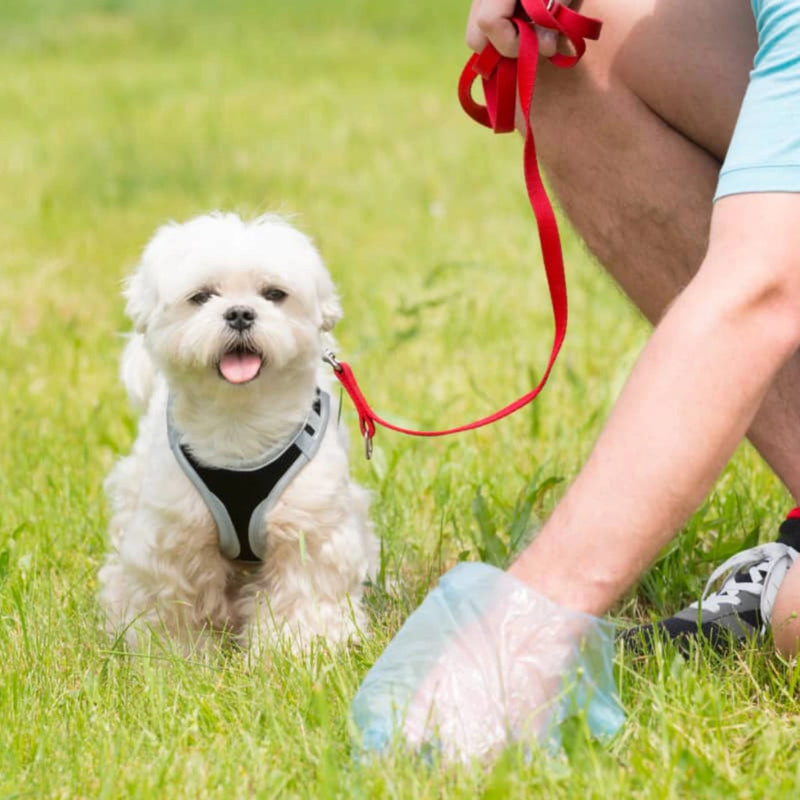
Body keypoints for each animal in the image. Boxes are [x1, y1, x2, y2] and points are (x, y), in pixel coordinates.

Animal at [97, 214, 378, 656]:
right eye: (201, 297)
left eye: (274, 294)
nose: (241, 313)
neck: (239, 423)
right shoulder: (174, 536)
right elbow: (173, 602)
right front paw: (177, 656)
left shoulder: (309, 527)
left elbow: (303, 593)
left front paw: (297, 650)